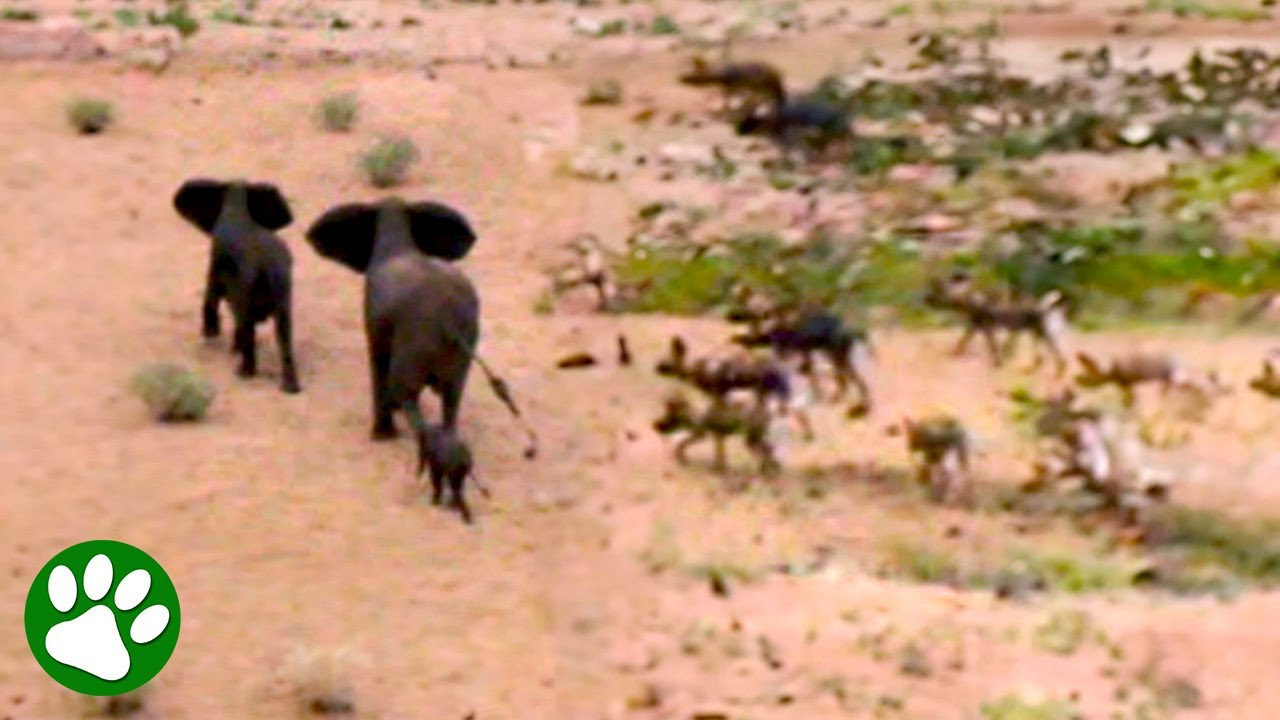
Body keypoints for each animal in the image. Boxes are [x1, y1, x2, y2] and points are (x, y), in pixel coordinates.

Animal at [172, 178, 302, 394]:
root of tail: (267, 265)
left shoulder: (216, 259)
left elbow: (211, 294)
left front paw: (211, 335)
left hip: (246, 285)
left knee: (246, 323)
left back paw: (244, 373)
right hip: (283, 287)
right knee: (283, 331)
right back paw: (290, 387)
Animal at [304, 197, 537, 458]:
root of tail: (448, 321)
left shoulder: (374, 317)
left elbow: (378, 361)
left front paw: (381, 437)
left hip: (415, 344)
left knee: (408, 395)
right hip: (463, 345)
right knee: (452, 398)